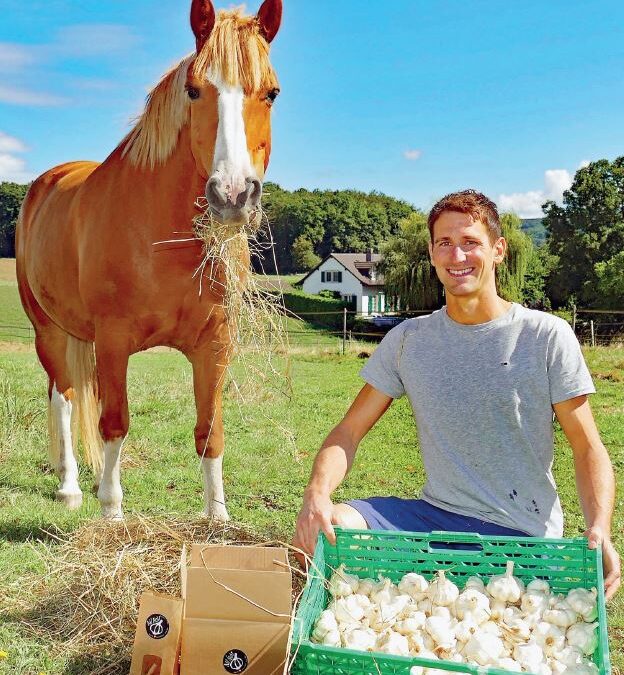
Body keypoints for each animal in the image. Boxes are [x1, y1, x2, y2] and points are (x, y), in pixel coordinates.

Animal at [14, 0, 282, 524]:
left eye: (271, 93)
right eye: (194, 90)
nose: (232, 196)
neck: (166, 241)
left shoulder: (214, 344)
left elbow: (210, 430)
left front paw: (217, 518)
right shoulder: (114, 340)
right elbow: (115, 422)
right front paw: (111, 513)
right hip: (48, 331)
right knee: (64, 397)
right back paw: (70, 487)